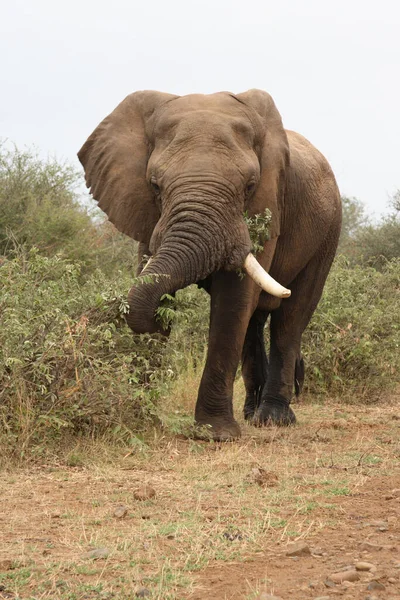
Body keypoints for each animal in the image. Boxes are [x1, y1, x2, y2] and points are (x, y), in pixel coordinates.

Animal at [78, 89, 340, 440]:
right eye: (155, 185)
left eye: (250, 186)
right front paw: (139, 419)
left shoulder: (270, 205)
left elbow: (233, 300)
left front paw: (215, 434)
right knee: (254, 322)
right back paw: (251, 413)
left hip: (329, 230)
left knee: (292, 316)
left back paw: (272, 419)